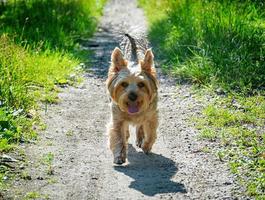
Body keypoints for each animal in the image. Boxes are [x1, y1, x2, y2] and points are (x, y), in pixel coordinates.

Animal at [105, 32, 159, 164]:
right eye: (124, 84)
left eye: (141, 84)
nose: (133, 96)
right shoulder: (117, 118)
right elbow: (118, 135)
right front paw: (119, 156)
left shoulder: (151, 115)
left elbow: (150, 132)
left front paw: (146, 146)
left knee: (140, 126)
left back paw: (140, 139)